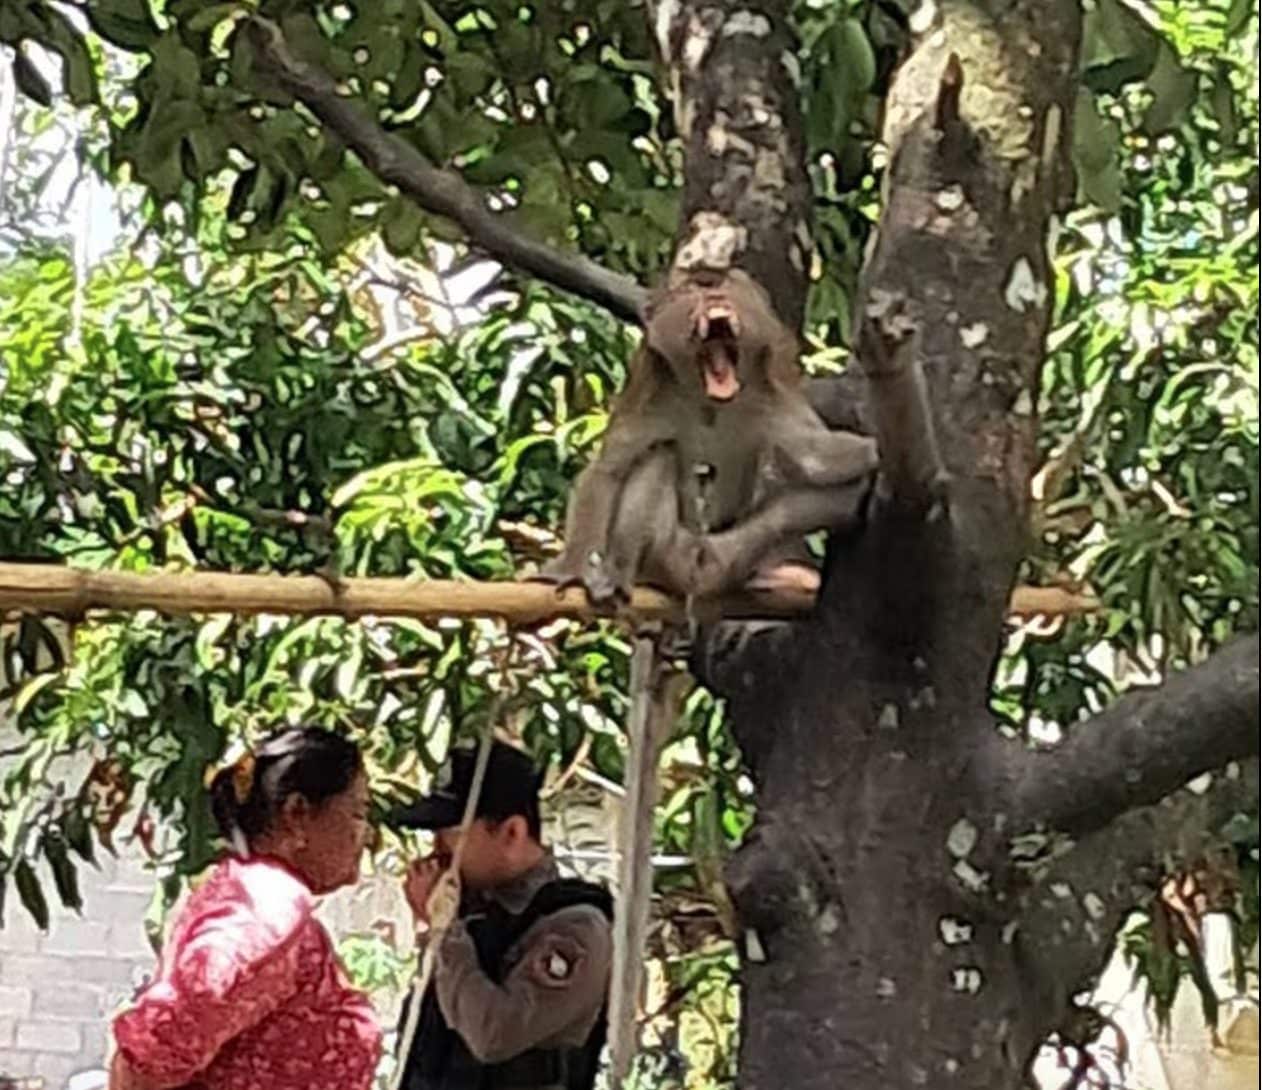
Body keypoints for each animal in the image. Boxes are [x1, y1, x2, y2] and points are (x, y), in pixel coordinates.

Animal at [535, 267, 878, 603]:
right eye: (692, 290)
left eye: (723, 284)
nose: (714, 295)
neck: (709, 398)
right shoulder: (649, 388)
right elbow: (609, 470)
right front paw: (571, 568)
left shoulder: (772, 387)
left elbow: (813, 454)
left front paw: (876, 452)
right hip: (669, 551)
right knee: (659, 454)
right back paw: (618, 575)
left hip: (728, 558)